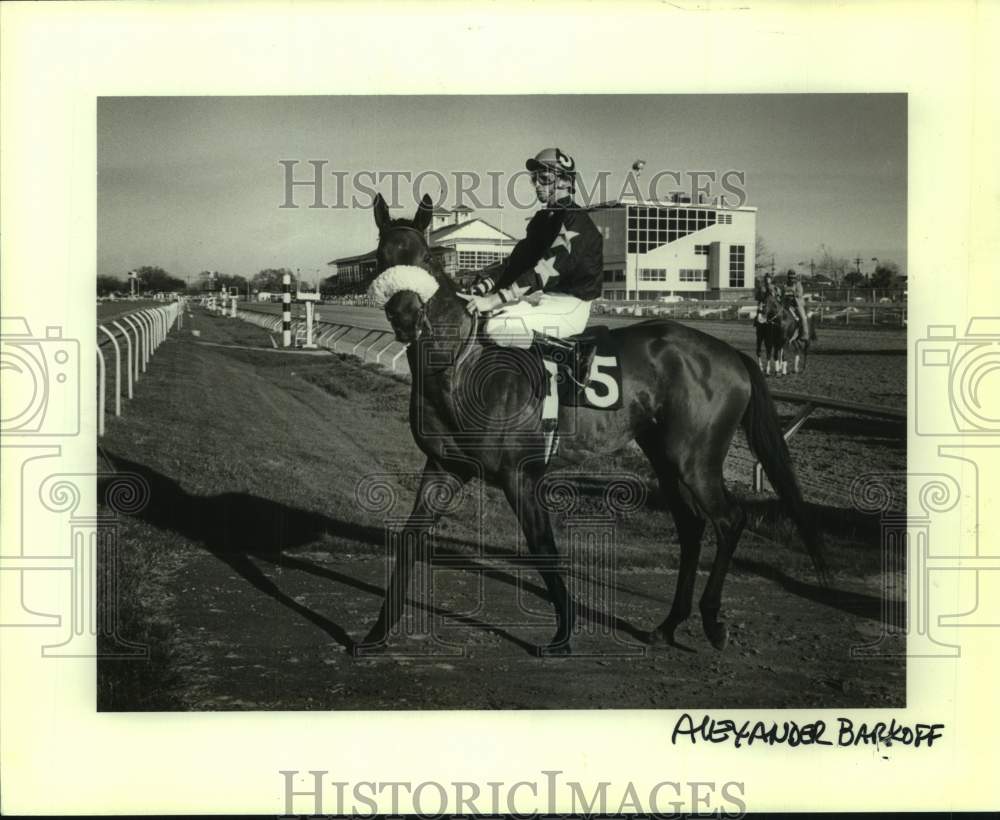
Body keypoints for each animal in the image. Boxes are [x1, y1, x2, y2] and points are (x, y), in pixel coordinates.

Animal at [360, 191, 828, 652]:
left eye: (424, 257)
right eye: (381, 258)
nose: (406, 316)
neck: (462, 365)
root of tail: (732, 354)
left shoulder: (519, 474)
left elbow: (543, 547)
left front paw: (563, 633)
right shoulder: (445, 466)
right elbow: (409, 539)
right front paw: (375, 634)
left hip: (696, 459)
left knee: (730, 520)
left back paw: (712, 622)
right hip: (665, 457)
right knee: (692, 527)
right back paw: (667, 625)